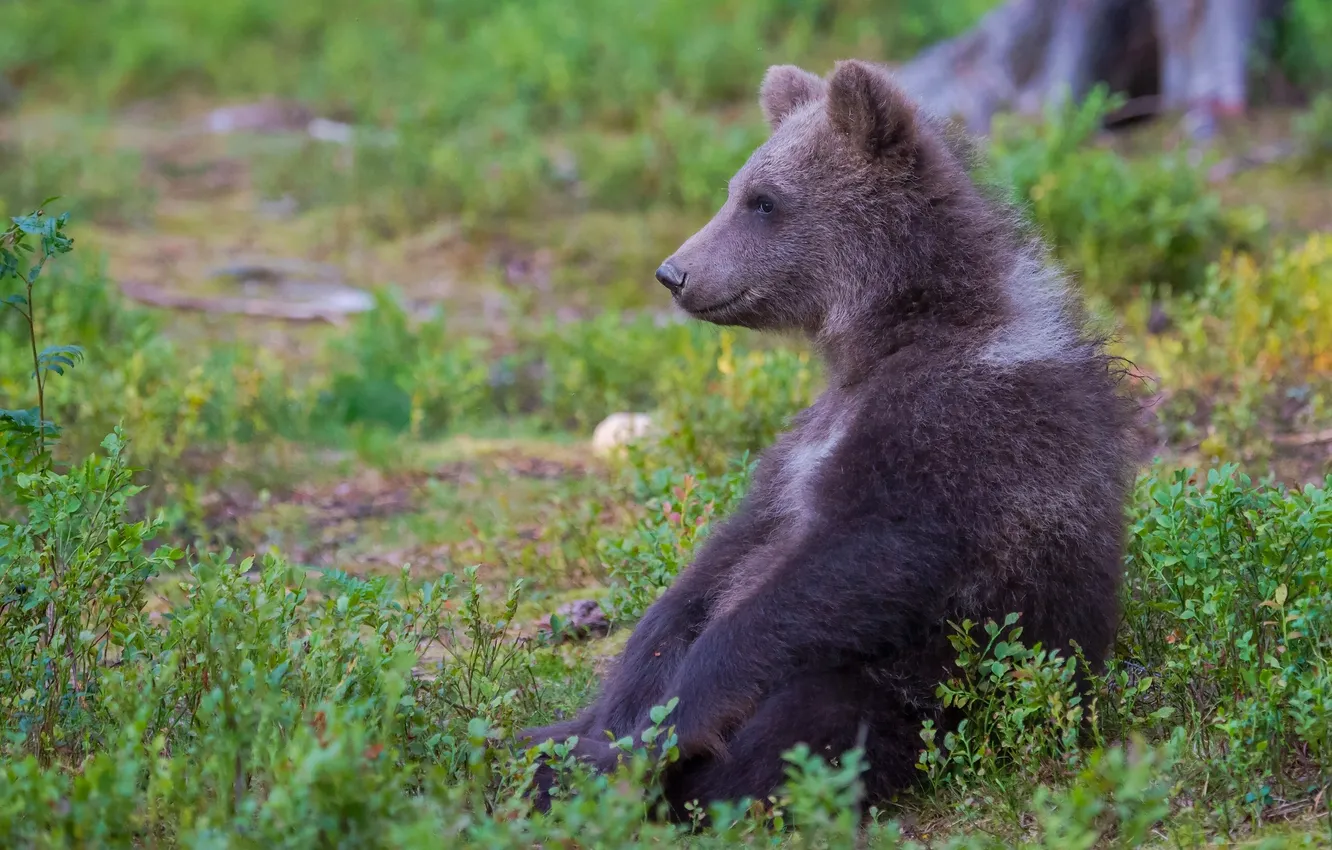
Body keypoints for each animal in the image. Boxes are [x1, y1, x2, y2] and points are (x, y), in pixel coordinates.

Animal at [520, 58, 1138, 821]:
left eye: (764, 201)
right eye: (735, 188)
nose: (674, 272)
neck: (896, 332)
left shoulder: (961, 431)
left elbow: (854, 562)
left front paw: (659, 734)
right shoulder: (801, 446)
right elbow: (715, 566)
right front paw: (624, 711)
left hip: (936, 687)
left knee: (809, 725)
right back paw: (541, 749)